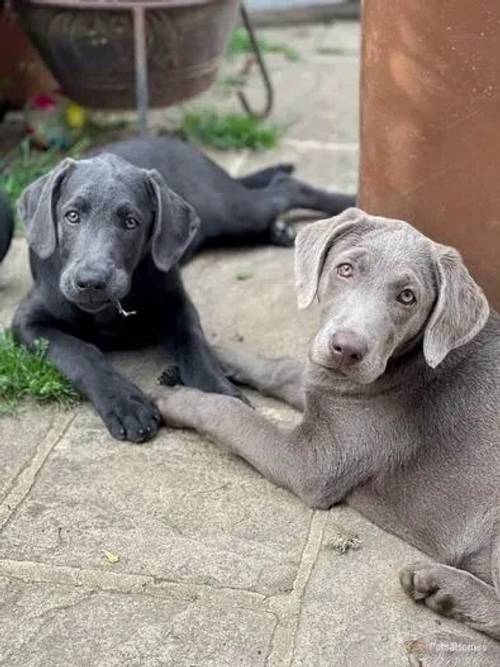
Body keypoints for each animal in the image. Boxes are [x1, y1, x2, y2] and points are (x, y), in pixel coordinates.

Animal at [12, 139, 356, 444]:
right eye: (71, 216)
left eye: (131, 222)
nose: (91, 281)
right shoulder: (26, 323)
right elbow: (79, 352)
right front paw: (125, 403)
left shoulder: (177, 304)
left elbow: (195, 345)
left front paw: (221, 397)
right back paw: (280, 230)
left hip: (226, 207)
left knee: (286, 187)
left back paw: (347, 205)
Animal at [156, 209, 500, 664]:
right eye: (345, 269)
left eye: (407, 296)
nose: (347, 349)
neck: (406, 363)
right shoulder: (324, 383)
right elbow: (282, 369)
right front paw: (218, 355)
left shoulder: (314, 464)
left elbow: (232, 414)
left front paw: (173, 399)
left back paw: (441, 619)